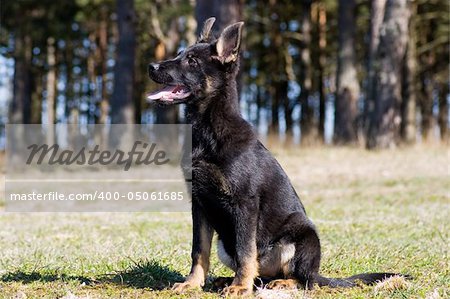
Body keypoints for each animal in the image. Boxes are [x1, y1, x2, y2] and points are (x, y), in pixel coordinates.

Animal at [146, 18, 402, 298]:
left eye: (191, 61)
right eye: (179, 54)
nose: (151, 66)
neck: (207, 130)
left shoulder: (244, 204)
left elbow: (246, 252)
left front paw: (240, 287)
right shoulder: (199, 205)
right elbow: (198, 250)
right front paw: (193, 283)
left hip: (303, 236)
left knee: (304, 279)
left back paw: (279, 282)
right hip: (226, 246)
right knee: (262, 274)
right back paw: (229, 280)